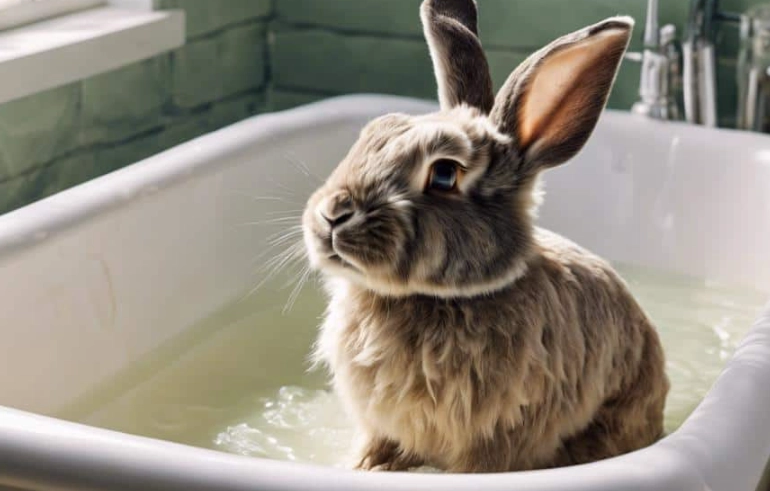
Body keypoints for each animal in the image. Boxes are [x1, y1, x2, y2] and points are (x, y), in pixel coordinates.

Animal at [301, 0, 670, 473]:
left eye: (444, 174)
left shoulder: (496, 438)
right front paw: (364, 468)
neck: (441, 298)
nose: (332, 215)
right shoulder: (382, 428)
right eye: (370, 136)